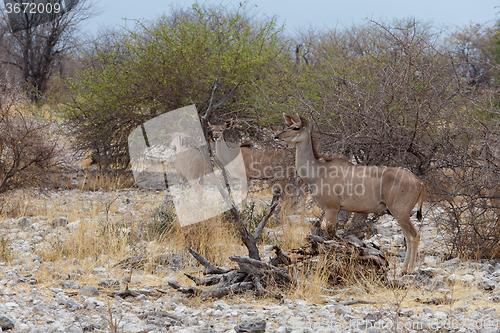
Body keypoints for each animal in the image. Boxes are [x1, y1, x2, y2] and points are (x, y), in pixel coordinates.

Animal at [276, 114, 424, 272]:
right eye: (287, 126)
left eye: (296, 128)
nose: (276, 136)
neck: (318, 172)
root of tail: (419, 182)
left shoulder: (331, 209)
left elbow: (331, 237)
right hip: (399, 213)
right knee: (408, 237)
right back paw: (403, 270)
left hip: (400, 212)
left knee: (414, 236)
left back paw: (408, 271)